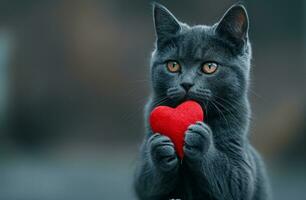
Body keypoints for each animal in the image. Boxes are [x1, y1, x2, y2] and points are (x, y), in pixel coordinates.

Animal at [134, 3, 270, 200]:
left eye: (209, 67)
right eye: (173, 65)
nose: (186, 83)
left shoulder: (242, 165)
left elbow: (237, 183)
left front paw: (199, 138)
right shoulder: (143, 176)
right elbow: (145, 182)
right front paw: (159, 147)